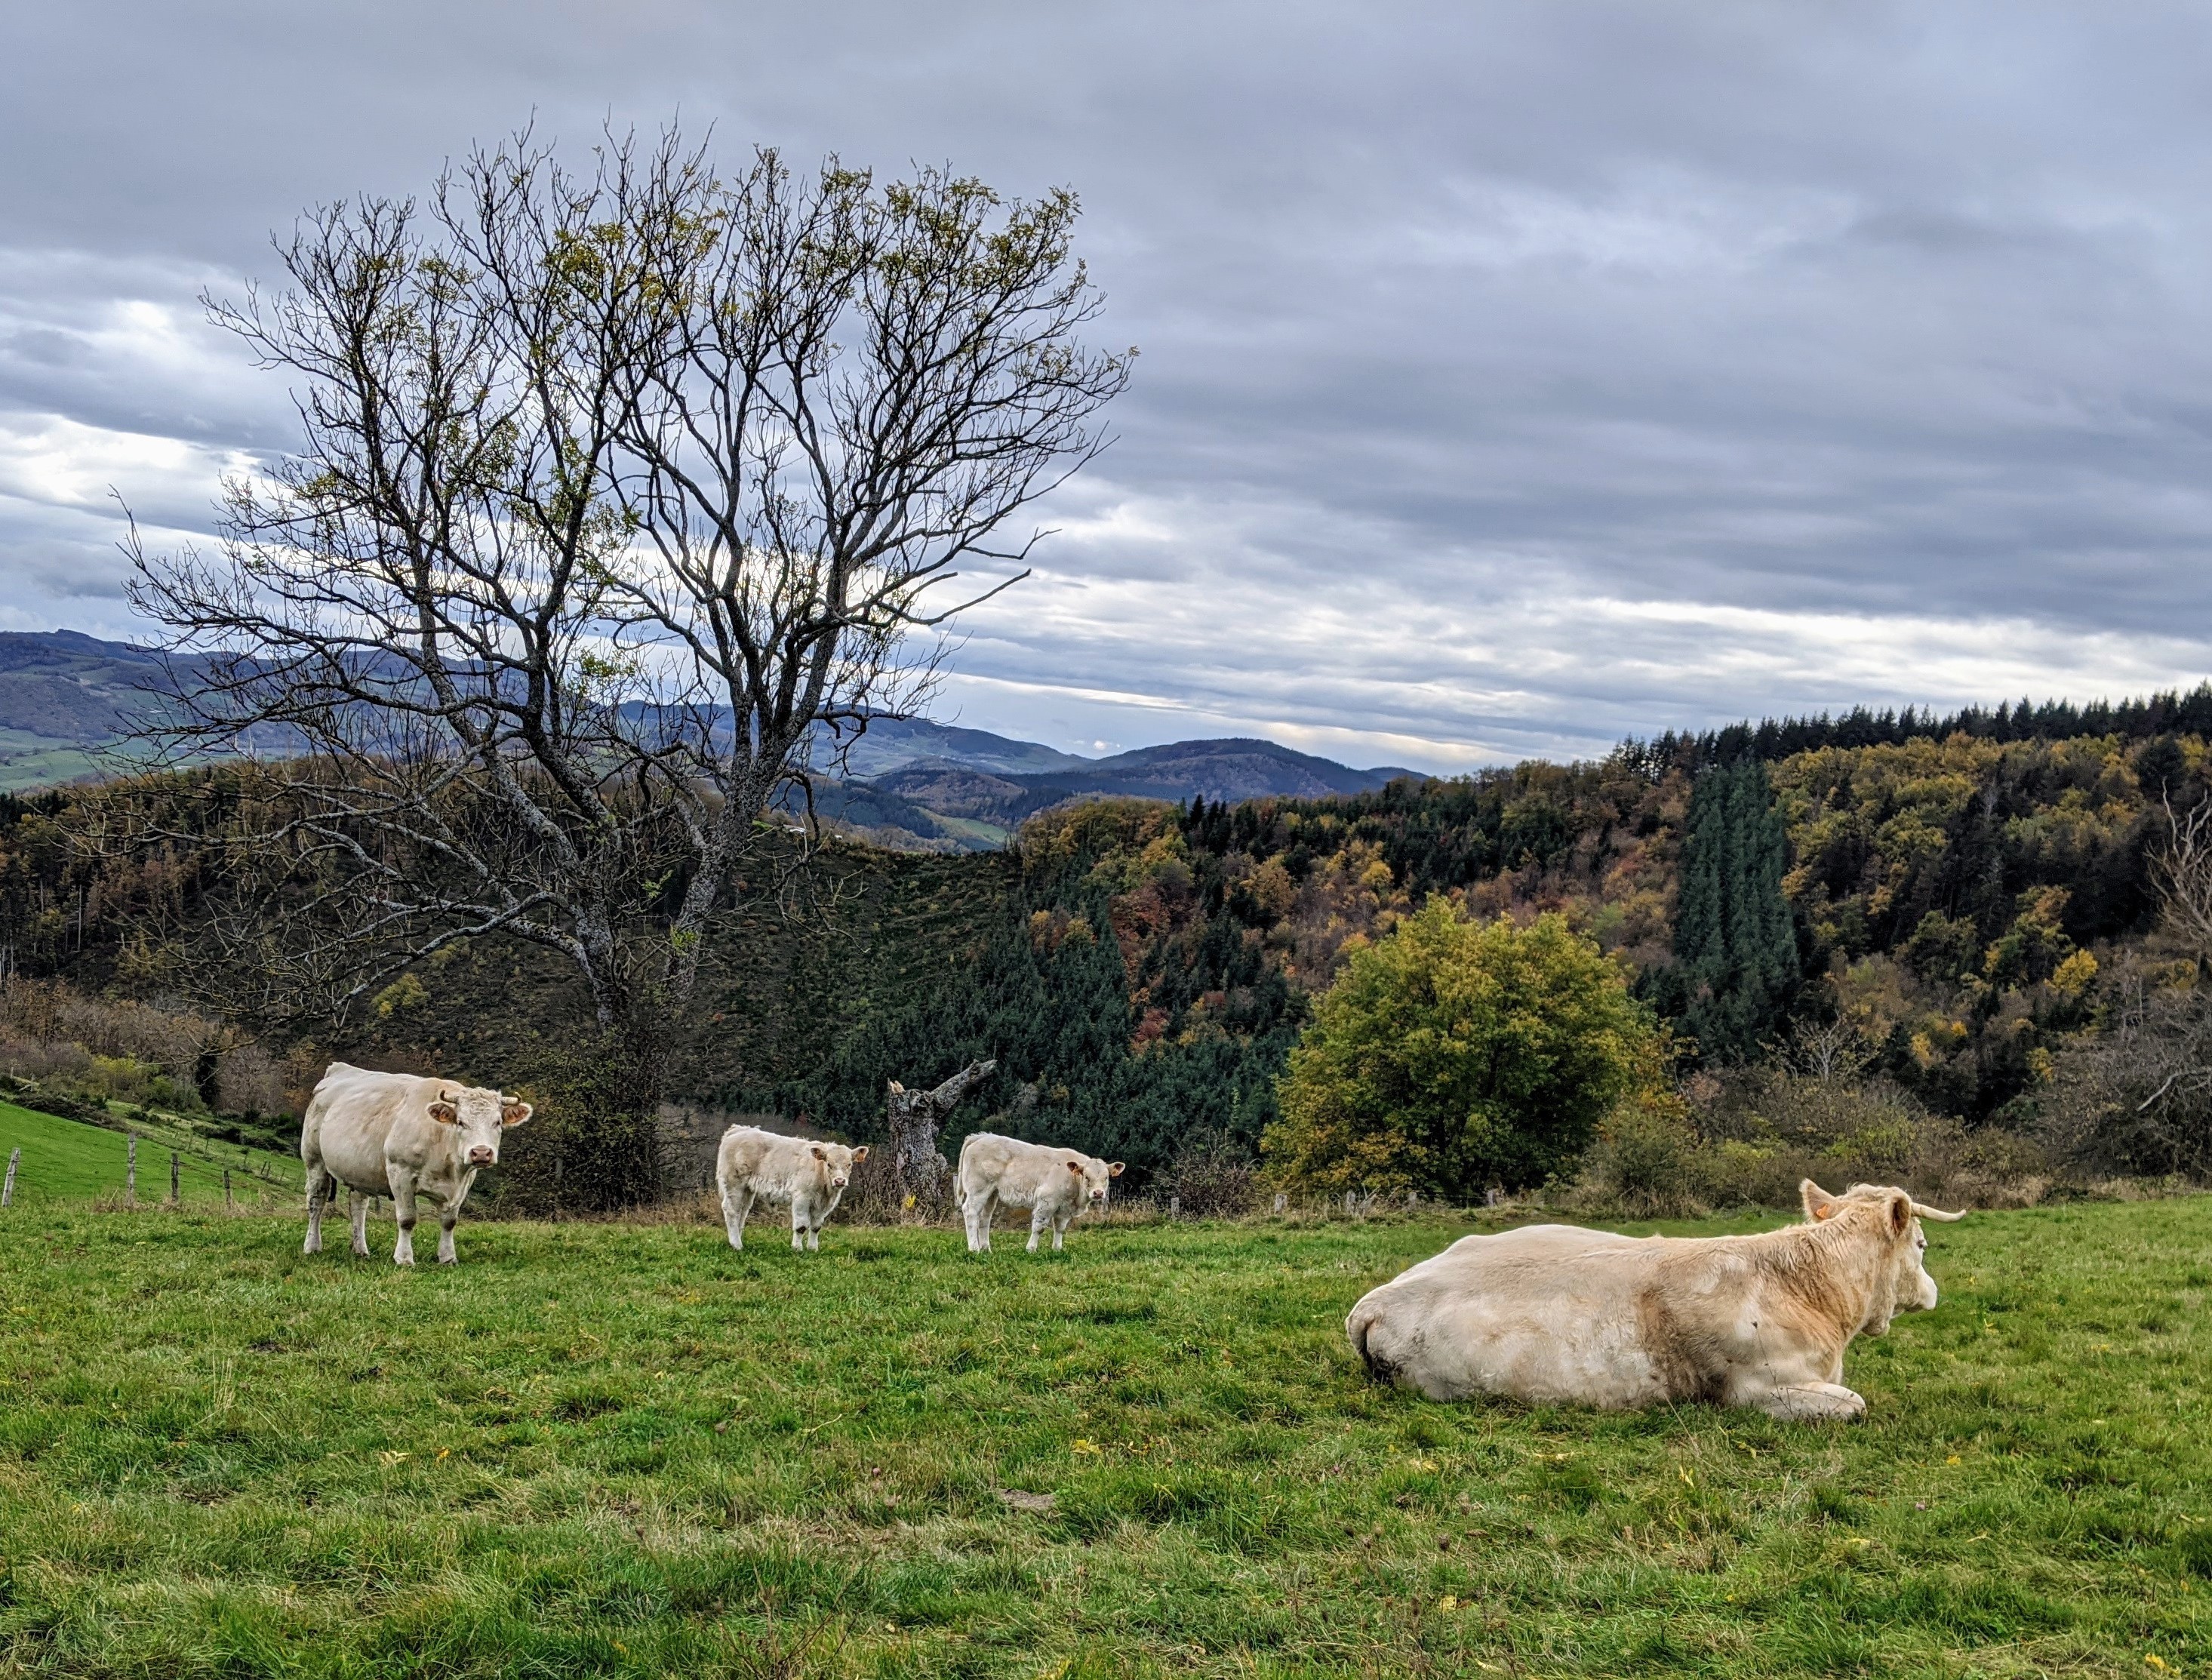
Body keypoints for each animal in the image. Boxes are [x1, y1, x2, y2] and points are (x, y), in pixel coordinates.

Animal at [303, 1071, 531, 1266]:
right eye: (460, 1122)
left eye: (498, 1122)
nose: (481, 1153)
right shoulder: (400, 1173)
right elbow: (407, 1219)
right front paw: (404, 1258)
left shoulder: (464, 1182)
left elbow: (449, 1222)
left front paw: (448, 1257)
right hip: (315, 1161)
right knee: (317, 1203)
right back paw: (312, 1246)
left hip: (360, 1171)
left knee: (358, 1207)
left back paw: (360, 1250)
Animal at [721, 1128, 866, 1248]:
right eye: (829, 1164)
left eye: (849, 1164)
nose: (840, 1181)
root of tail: (739, 1130)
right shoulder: (801, 1197)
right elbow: (801, 1226)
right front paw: (797, 1248)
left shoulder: (823, 1205)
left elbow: (816, 1227)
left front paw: (813, 1249)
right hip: (734, 1184)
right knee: (732, 1211)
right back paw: (737, 1245)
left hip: (747, 1188)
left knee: (742, 1211)